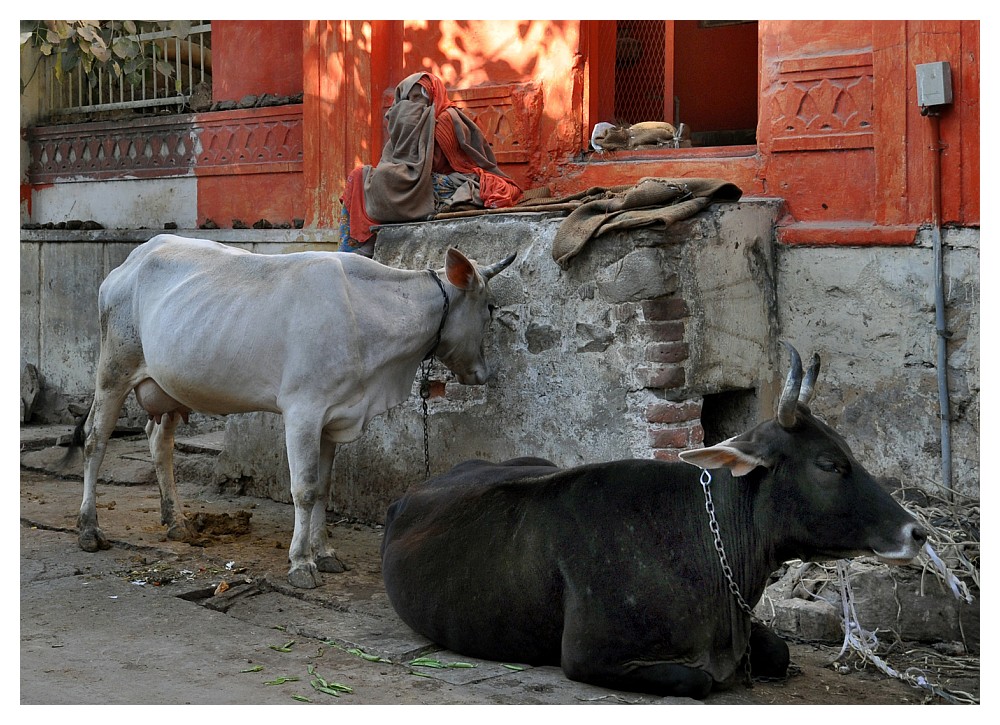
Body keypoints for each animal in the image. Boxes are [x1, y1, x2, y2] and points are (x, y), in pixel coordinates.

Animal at [72, 235, 516, 584]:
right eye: (490, 307)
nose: (484, 373)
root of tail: (133, 258)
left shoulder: (335, 416)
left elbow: (323, 488)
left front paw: (325, 553)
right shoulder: (304, 411)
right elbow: (303, 488)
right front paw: (301, 563)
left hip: (167, 385)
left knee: (158, 441)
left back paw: (176, 520)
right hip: (114, 370)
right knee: (95, 440)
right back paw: (89, 529)